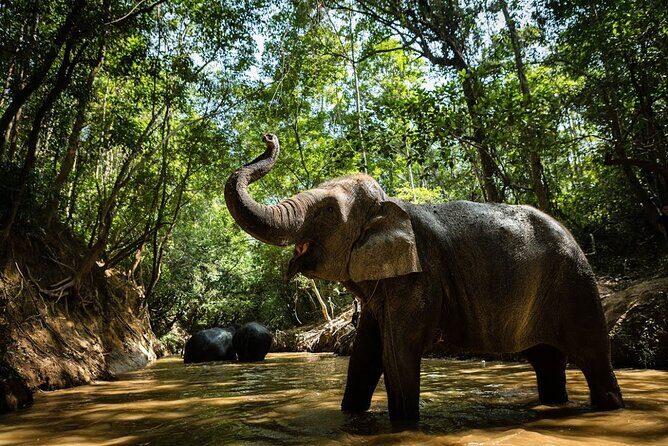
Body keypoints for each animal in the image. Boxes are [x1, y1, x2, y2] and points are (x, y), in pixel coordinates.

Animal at [225, 134, 624, 422]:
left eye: (327, 212)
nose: (268, 136)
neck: (391, 206)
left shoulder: (420, 279)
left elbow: (397, 353)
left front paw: (403, 423)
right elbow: (365, 355)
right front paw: (351, 414)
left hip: (576, 284)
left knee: (592, 357)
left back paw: (609, 407)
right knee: (546, 360)